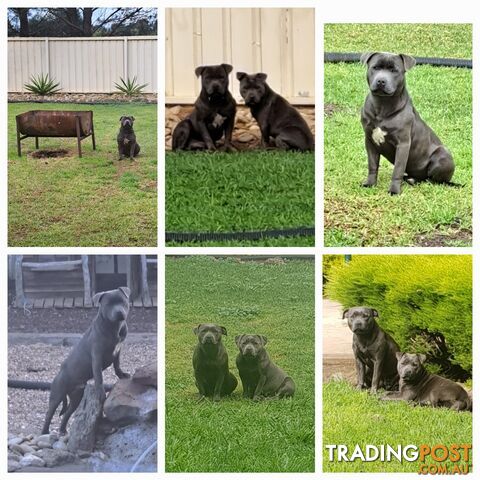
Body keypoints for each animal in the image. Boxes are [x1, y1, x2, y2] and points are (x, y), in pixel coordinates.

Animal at [172, 62, 316, 151]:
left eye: (258, 88)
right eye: (245, 88)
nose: (251, 96)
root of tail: (311, 146)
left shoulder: (263, 124)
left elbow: (263, 138)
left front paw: (262, 149)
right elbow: (208, 136)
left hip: (283, 134)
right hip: (185, 125)